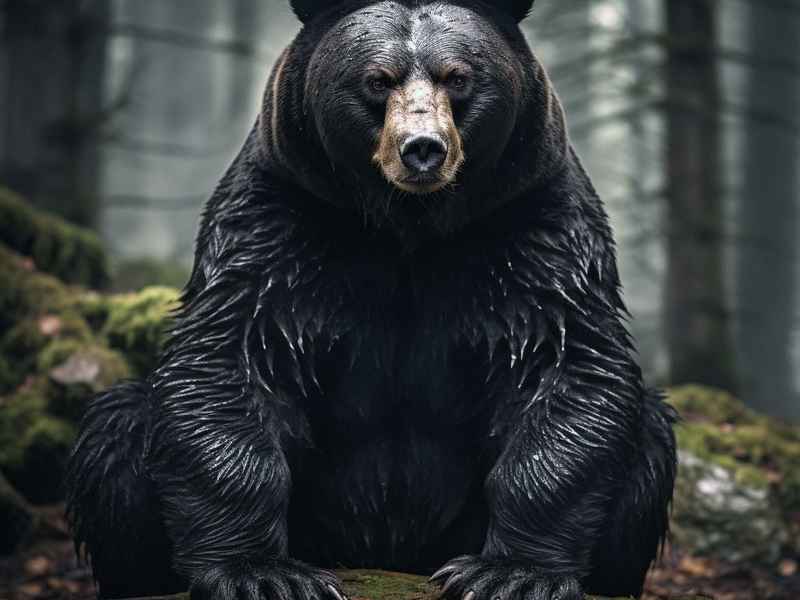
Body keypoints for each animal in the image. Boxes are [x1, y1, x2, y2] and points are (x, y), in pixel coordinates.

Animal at [66, 1, 677, 599]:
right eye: (377, 79)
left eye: (458, 76)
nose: (422, 149)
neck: (407, 228)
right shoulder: (281, 217)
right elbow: (231, 352)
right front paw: (263, 572)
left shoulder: (531, 222)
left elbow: (568, 360)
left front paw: (513, 573)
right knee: (117, 425)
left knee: (650, 436)